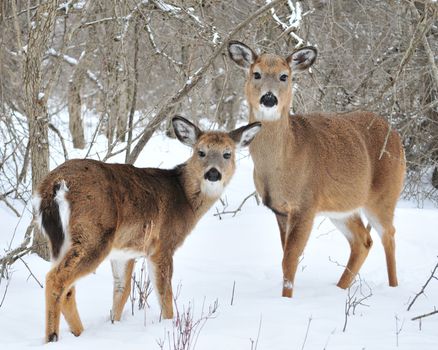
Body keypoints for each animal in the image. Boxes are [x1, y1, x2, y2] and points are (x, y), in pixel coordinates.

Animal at [34, 117, 262, 342]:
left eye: (227, 153)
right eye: (201, 152)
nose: (213, 173)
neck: (185, 198)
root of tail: (55, 183)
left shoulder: (124, 252)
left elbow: (122, 291)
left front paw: (114, 325)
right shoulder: (162, 245)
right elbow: (165, 295)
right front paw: (169, 325)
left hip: (62, 240)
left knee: (68, 288)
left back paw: (78, 333)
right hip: (94, 233)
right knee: (56, 279)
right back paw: (52, 337)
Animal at [228, 41, 406, 298]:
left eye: (284, 76)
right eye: (256, 74)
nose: (269, 98)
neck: (282, 163)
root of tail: (396, 136)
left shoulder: (306, 204)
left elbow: (290, 260)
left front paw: (286, 300)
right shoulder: (280, 210)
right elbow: (285, 257)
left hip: (384, 195)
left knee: (388, 235)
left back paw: (393, 288)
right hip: (342, 207)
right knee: (363, 241)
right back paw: (340, 289)